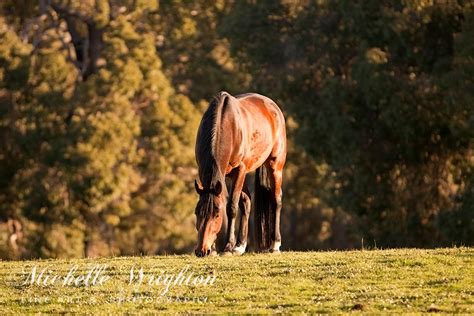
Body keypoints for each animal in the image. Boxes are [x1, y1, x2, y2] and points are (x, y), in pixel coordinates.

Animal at [193, 90, 286, 256]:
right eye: (197, 212)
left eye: (217, 214)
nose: (202, 250)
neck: (226, 126)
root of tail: (273, 107)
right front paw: (220, 248)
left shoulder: (240, 170)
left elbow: (231, 207)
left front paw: (227, 247)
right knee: (247, 201)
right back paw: (240, 246)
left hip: (275, 166)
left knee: (276, 200)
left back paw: (275, 245)